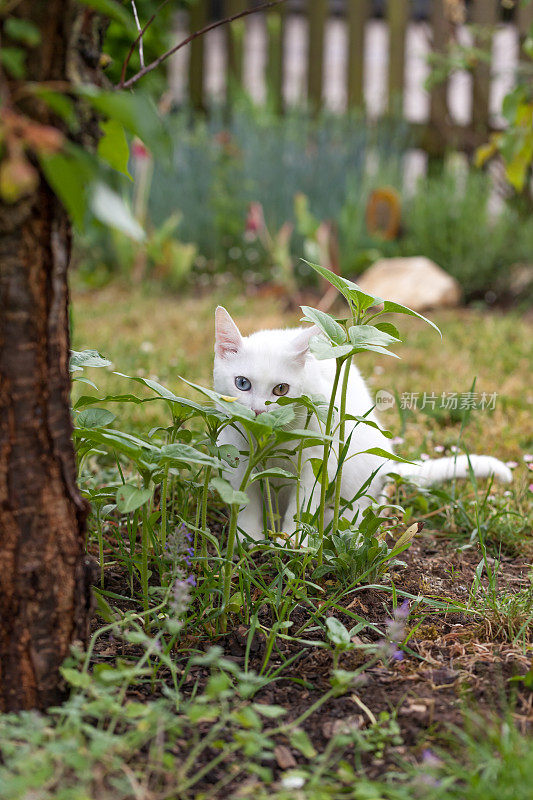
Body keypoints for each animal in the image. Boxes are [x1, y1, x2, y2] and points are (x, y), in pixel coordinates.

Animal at [212, 306, 512, 544]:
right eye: (242, 383)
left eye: (281, 389)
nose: (258, 411)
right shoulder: (238, 456)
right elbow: (245, 502)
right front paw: (246, 540)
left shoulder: (318, 458)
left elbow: (302, 505)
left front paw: (292, 541)